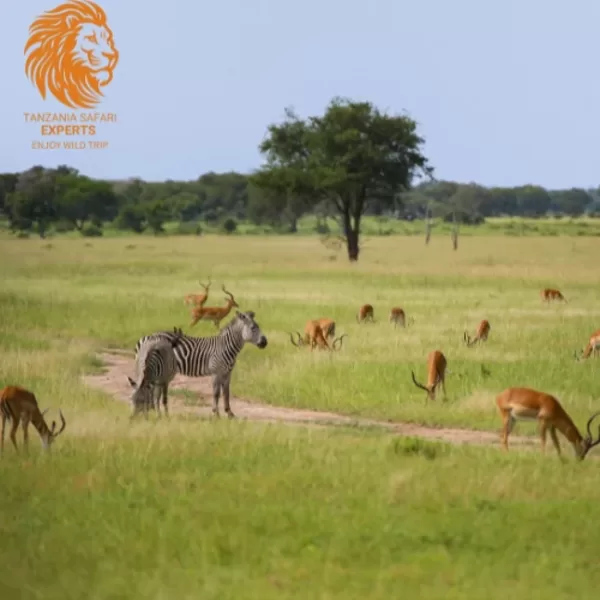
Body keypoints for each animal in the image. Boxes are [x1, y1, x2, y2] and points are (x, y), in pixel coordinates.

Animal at [137, 312, 268, 420]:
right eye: (253, 328)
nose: (265, 342)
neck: (225, 347)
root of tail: (150, 336)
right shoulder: (216, 373)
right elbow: (216, 393)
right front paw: (216, 414)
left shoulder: (227, 373)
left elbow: (226, 393)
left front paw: (230, 413)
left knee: (155, 392)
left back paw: (157, 414)